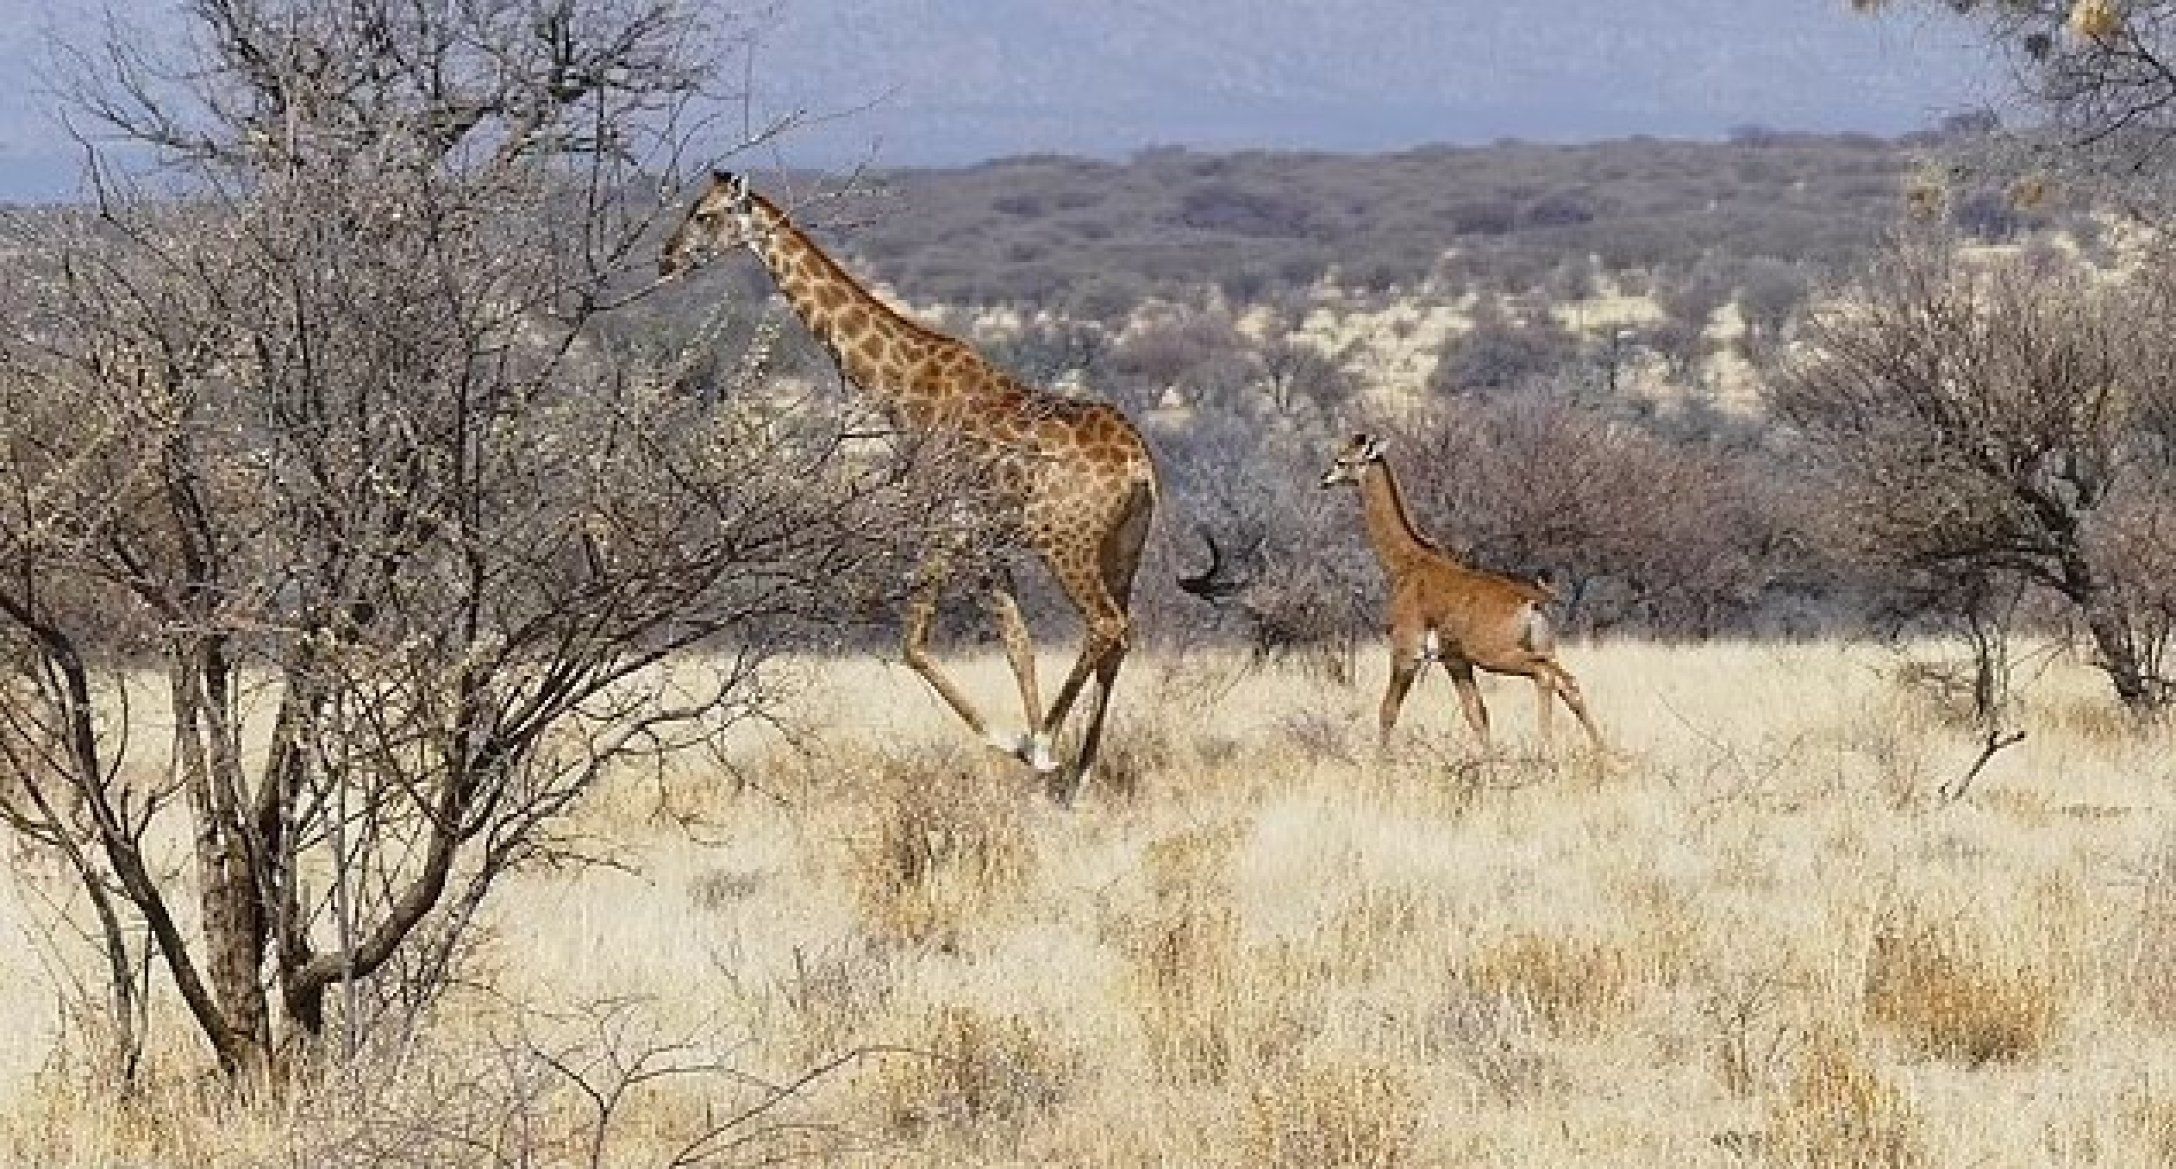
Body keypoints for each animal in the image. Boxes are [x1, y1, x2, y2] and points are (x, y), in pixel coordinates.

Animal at [661, 168, 1209, 796]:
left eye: (704, 215)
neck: (901, 387)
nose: (666, 259)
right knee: (1121, 636)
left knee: (1106, 625)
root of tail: (1141, 464)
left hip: (1063, 541)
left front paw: (1024, 744)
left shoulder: (943, 519)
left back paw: (1054, 748)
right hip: (1124, 547)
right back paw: (1080, 776)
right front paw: (1031, 752)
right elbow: (1017, 643)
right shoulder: (985, 537)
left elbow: (913, 643)